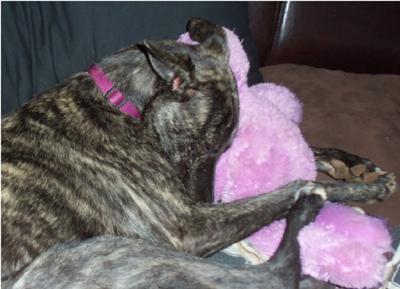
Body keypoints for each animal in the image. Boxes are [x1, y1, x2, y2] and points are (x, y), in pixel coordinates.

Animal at [1, 18, 396, 288]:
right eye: (203, 148)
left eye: (223, 150)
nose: (205, 199)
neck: (120, 103)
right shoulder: (186, 225)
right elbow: (277, 192)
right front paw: (353, 189)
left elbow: (305, 147)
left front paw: (353, 165)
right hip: (105, 256)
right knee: (276, 274)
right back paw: (308, 206)